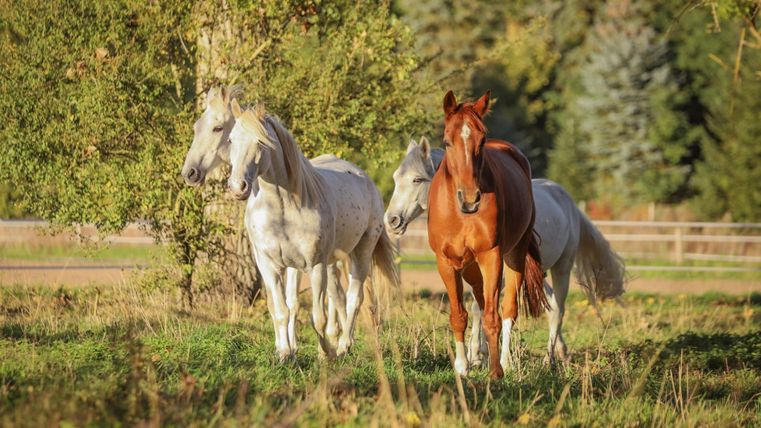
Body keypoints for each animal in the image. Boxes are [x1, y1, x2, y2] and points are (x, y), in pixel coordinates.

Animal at [225, 99, 399, 360]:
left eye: (260, 142)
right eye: (230, 139)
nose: (238, 187)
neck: (282, 208)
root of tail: (364, 177)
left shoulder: (315, 265)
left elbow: (318, 318)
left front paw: (326, 353)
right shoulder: (269, 265)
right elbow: (282, 310)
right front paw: (285, 354)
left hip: (360, 252)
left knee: (353, 298)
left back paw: (343, 345)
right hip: (325, 262)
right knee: (334, 298)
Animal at [386, 136, 626, 373]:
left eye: (417, 179)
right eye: (396, 177)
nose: (391, 220)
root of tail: (570, 203)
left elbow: (479, 308)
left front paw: (478, 355)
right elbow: (477, 306)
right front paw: (478, 356)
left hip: (562, 268)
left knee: (558, 309)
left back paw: (548, 359)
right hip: (538, 273)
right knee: (551, 308)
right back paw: (562, 352)